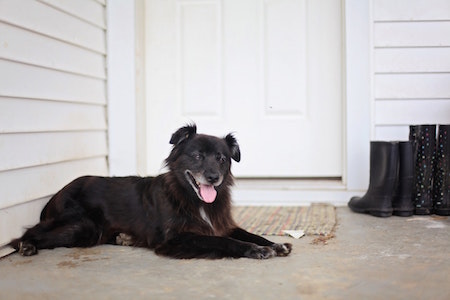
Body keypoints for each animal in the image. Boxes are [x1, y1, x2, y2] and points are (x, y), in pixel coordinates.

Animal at [10, 125, 294, 260]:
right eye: (197, 156)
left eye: (222, 158)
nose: (214, 178)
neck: (191, 198)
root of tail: (58, 193)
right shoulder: (176, 238)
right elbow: (223, 242)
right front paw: (255, 250)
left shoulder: (222, 225)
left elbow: (250, 234)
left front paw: (275, 244)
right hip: (82, 225)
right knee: (29, 233)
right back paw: (27, 245)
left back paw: (124, 238)